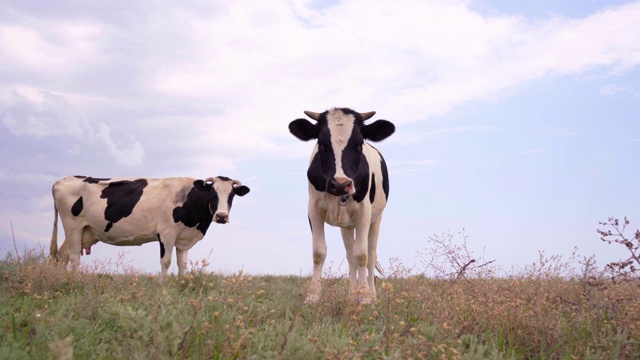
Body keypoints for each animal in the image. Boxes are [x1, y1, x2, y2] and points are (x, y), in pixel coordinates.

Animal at [50, 175, 250, 278]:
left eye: (231, 195)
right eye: (213, 194)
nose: (222, 216)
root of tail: (62, 180)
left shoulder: (183, 238)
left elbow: (182, 264)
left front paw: (181, 285)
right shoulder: (166, 234)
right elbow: (166, 261)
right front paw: (163, 288)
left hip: (83, 231)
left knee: (63, 256)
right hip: (73, 227)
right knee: (74, 258)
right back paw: (76, 282)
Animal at [288, 107, 396, 304]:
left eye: (358, 145)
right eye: (322, 145)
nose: (340, 184)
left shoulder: (364, 212)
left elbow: (362, 254)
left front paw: (365, 298)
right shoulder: (313, 209)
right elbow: (319, 252)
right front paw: (313, 297)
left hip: (376, 219)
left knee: (370, 255)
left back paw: (371, 294)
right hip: (346, 225)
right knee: (350, 256)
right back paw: (352, 295)